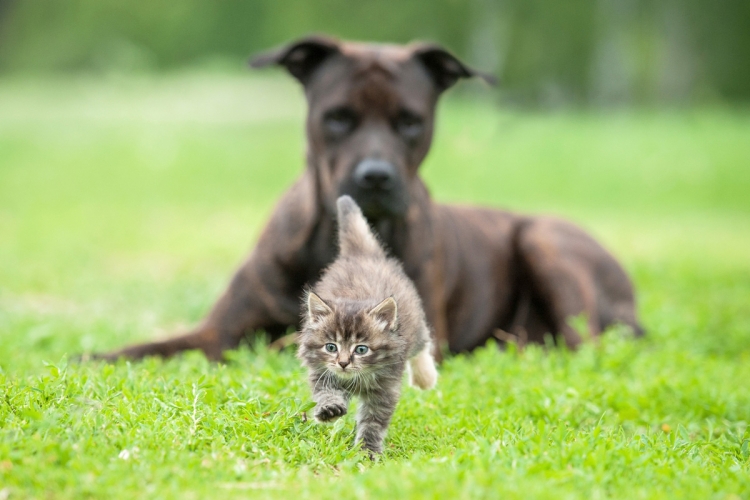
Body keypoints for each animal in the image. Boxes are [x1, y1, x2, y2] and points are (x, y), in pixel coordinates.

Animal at [97, 36, 644, 364]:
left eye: (410, 121)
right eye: (338, 117)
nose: (376, 176)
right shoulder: (216, 332)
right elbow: (149, 346)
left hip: (544, 238)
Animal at [296, 195, 438, 458]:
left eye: (361, 349)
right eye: (331, 347)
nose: (343, 363)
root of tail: (359, 254)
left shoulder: (385, 389)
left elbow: (373, 422)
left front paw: (367, 451)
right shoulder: (321, 372)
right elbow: (325, 392)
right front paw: (329, 409)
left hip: (415, 326)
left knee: (423, 344)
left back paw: (425, 378)